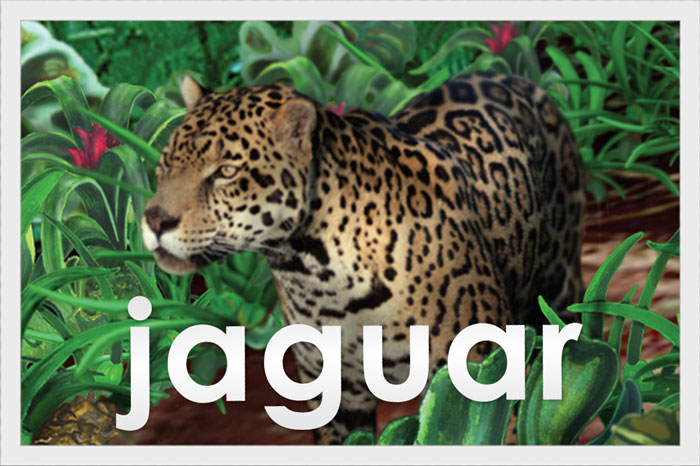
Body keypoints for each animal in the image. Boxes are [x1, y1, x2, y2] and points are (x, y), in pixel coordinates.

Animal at [141, 72, 585, 445]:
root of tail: (520, 77)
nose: (155, 219)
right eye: (166, 163)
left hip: (559, 286)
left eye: (227, 171)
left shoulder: (479, 369)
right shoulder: (334, 391)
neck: (317, 272)